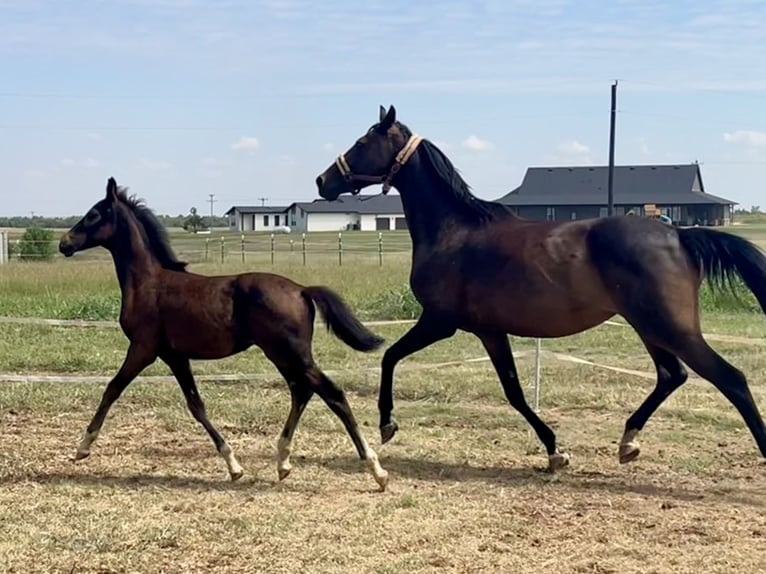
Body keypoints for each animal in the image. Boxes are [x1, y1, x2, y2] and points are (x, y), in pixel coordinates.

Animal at [58, 179, 390, 490]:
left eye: (93, 214)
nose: (64, 243)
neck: (147, 283)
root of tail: (301, 289)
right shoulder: (174, 355)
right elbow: (196, 405)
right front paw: (233, 465)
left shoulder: (143, 349)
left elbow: (112, 388)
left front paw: (82, 447)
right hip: (283, 355)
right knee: (302, 391)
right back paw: (283, 462)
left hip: (290, 353)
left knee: (332, 393)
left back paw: (377, 470)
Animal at [316, 106, 766, 474]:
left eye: (361, 142)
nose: (323, 180)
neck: (454, 230)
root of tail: (680, 235)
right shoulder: (490, 331)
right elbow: (514, 391)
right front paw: (554, 451)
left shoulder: (440, 321)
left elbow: (390, 357)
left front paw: (387, 423)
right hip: (649, 327)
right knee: (672, 375)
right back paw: (627, 442)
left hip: (670, 327)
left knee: (731, 379)